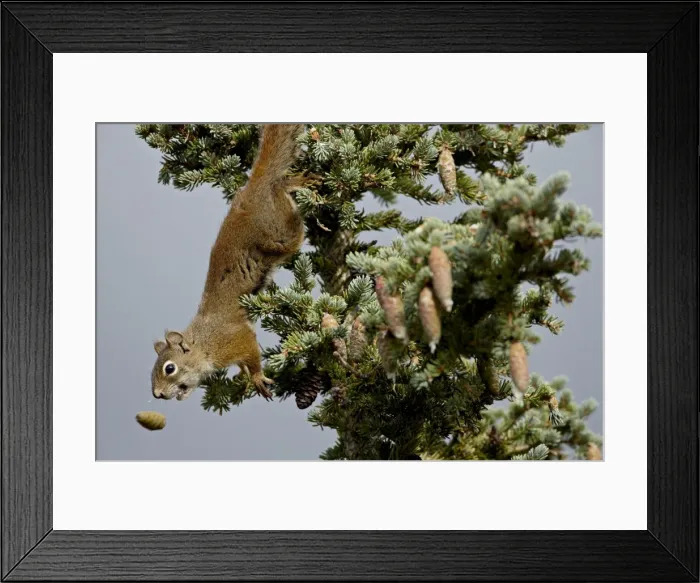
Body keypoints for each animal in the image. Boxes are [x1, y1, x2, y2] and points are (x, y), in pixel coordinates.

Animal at [150, 124, 306, 402]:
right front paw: (243, 376)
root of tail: (251, 192)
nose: (157, 394)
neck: (204, 343)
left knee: (289, 213)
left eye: (170, 368)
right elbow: (244, 364)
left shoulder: (235, 339)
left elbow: (252, 354)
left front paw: (256, 377)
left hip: (281, 233)